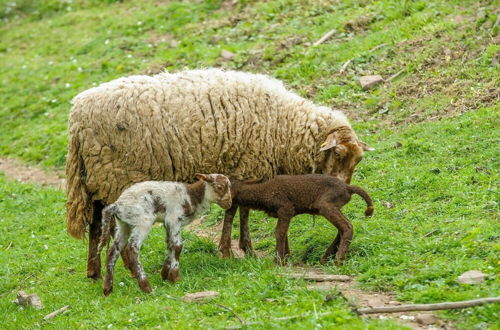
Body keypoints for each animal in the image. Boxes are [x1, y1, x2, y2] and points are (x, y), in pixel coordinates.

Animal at [221, 174, 374, 264]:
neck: (264, 191)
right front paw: (285, 257)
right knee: (343, 227)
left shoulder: (286, 209)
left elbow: (279, 233)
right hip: (334, 205)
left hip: (326, 204)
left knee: (347, 226)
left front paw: (278, 261)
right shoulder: (285, 214)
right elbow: (284, 233)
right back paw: (325, 258)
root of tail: (348, 188)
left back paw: (338, 260)